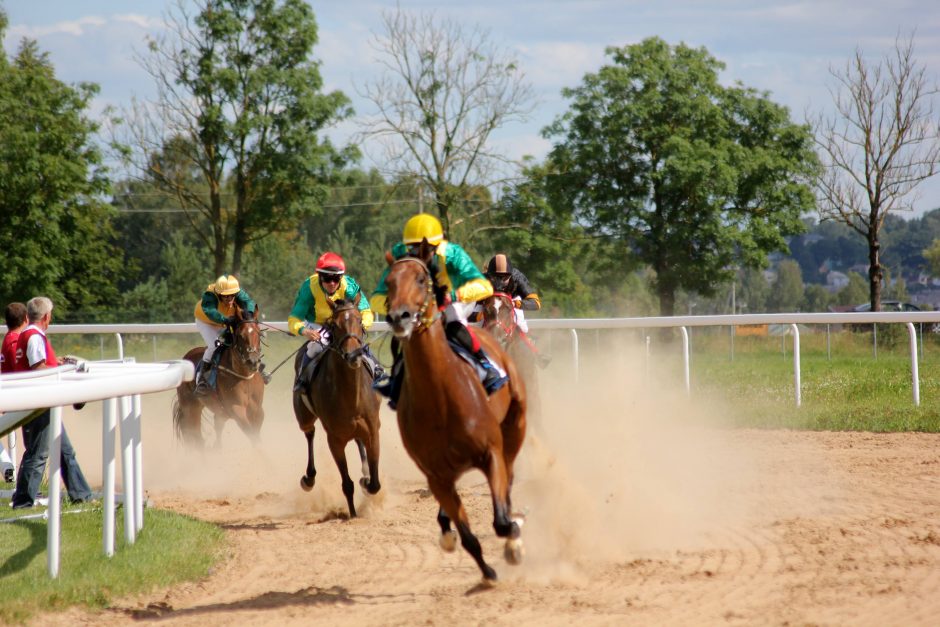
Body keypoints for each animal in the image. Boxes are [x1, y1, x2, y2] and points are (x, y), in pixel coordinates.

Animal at [173, 308, 266, 446]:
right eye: (240, 335)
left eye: (259, 333)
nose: (253, 361)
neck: (244, 375)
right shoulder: (237, 410)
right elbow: (253, 437)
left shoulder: (257, 411)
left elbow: (256, 436)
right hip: (190, 406)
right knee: (194, 435)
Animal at [294, 296, 382, 516]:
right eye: (334, 325)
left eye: (359, 321)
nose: (353, 355)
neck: (351, 396)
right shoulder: (334, 439)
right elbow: (347, 483)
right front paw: (352, 513)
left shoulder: (373, 430)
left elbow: (375, 483)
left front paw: (366, 480)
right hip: (303, 416)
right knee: (309, 432)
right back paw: (308, 478)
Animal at [384, 247, 528, 584]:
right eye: (388, 282)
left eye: (421, 279)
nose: (399, 316)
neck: (439, 398)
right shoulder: (436, 476)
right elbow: (467, 536)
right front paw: (486, 572)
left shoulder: (491, 453)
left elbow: (502, 521)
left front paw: (514, 540)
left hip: (515, 426)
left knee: (510, 475)